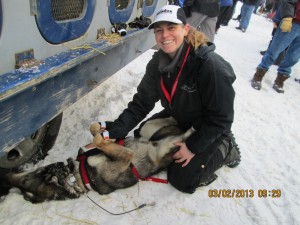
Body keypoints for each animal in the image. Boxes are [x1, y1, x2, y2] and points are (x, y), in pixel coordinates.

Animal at [0, 117, 192, 203]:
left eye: (25, 180)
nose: (6, 178)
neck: (80, 174)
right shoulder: (125, 156)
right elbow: (98, 139)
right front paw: (101, 135)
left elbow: (94, 131)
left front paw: (101, 128)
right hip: (164, 142)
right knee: (184, 131)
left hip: (148, 129)